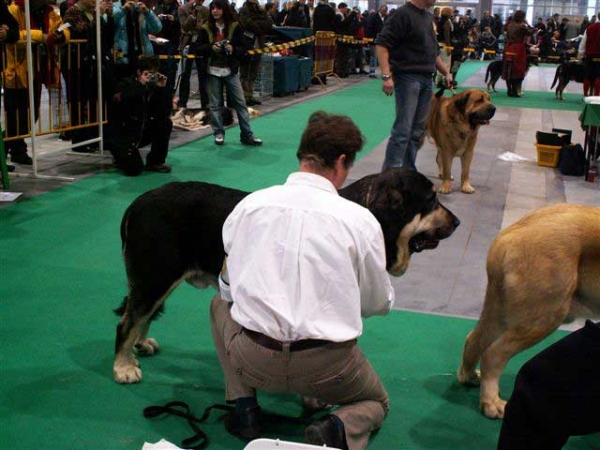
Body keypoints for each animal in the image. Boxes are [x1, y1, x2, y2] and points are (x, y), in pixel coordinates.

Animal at [460, 204, 600, 418]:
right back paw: (491, 402)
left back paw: (469, 377)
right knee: (493, 355)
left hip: (502, 311)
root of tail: (509, 235)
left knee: (474, 340)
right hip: (545, 316)